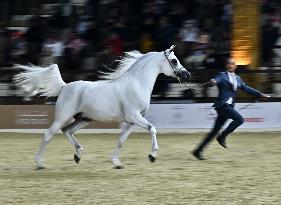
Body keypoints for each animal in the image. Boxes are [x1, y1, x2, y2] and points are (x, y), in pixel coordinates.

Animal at [13, 44, 190, 168]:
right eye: (174, 60)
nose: (187, 74)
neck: (136, 83)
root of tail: (64, 86)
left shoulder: (131, 121)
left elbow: (121, 140)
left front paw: (116, 163)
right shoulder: (134, 116)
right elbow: (152, 129)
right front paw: (152, 156)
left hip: (84, 119)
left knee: (67, 131)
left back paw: (78, 156)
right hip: (62, 117)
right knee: (48, 134)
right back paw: (40, 164)